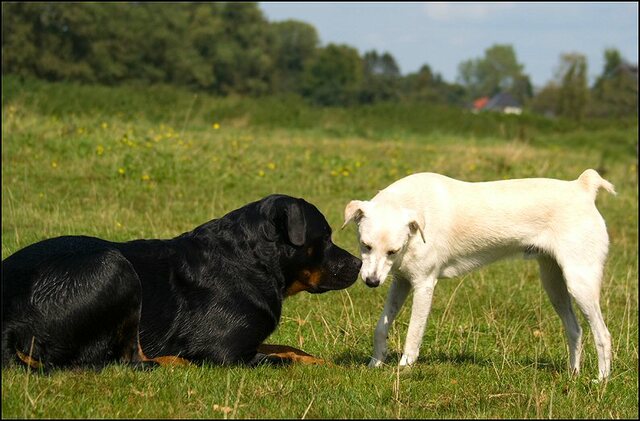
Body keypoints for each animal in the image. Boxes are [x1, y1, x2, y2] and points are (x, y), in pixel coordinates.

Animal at [1, 194, 360, 368]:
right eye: (325, 237)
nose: (358, 263)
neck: (251, 262)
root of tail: (9, 320)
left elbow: (290, 349)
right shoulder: (225, 352)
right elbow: (280, 359)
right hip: (114, 268)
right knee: (119, 360)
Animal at [344, 169, 616, 378]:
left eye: (393, 251)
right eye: (365, 245)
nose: (371, 282)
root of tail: (582, 187)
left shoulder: (423, 285)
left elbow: (413, 333)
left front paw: (404, 370)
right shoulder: (400, 282)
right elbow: (381, 327)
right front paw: (375, 363)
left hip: (580, 284)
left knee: (603, 334)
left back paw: (600, 380)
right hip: (554, 285)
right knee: (576, 330)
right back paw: (573, 375)